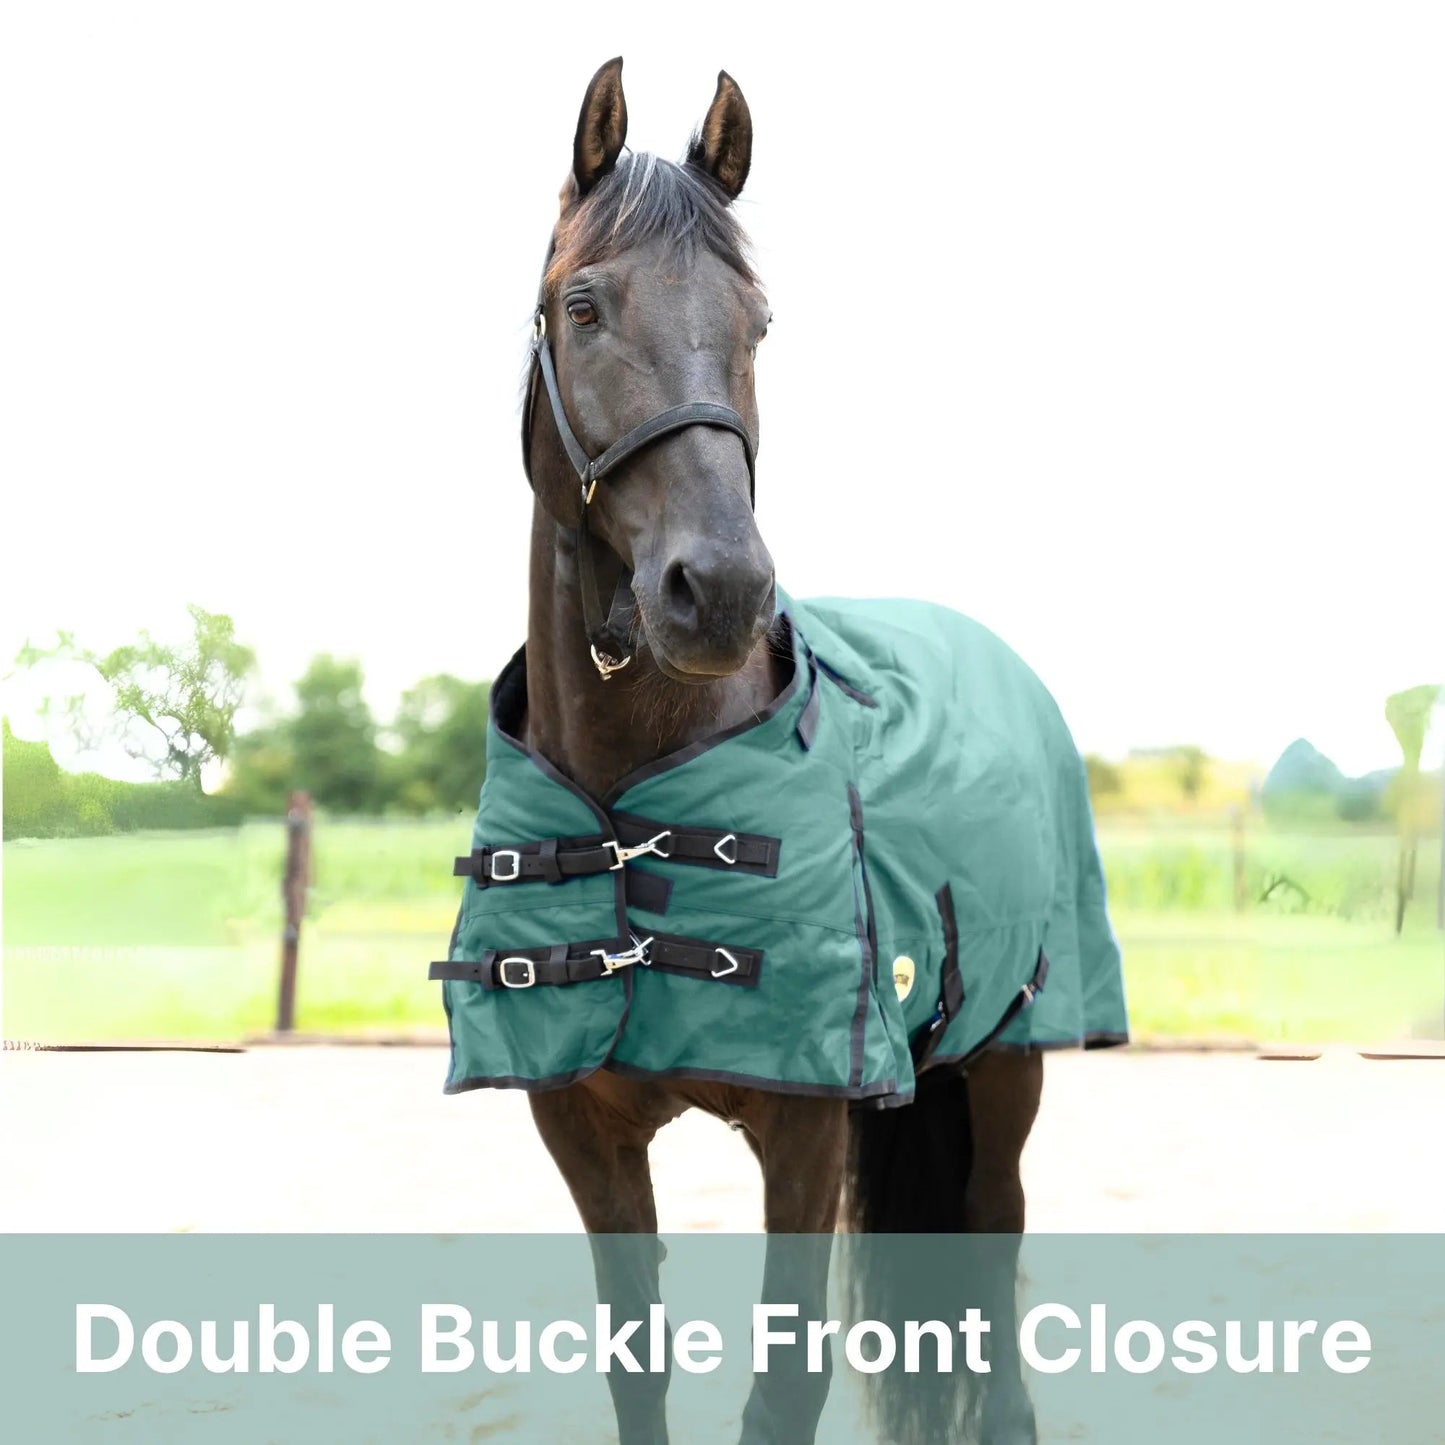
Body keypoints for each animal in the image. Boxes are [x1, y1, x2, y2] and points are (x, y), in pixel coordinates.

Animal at [432, 57, 1127, 1445]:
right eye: (582, 306)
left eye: (757, 322)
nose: (720, 592)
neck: (631, 793)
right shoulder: (582, 1132)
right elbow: (635, 1361)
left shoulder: (805, 1133)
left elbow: (783, 1379)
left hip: (1009, 1061)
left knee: (992, 1240)